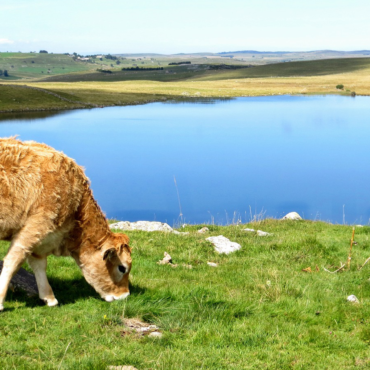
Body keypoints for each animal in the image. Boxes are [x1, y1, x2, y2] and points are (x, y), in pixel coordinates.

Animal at [0, 136, 132, 310]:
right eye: (122, 268)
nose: (125, 295)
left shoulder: (42, 238)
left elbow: (39, 265)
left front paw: (49, 297)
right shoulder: (34, 228)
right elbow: (12, 263)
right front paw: (0, 302)